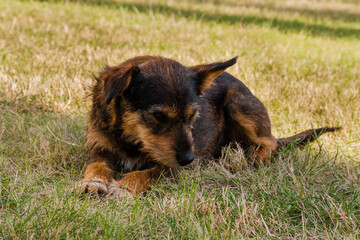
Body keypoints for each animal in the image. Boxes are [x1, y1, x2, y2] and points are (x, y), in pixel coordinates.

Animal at [77, 55, 338, 197]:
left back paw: (258, 158)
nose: (189, 159)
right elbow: (96, 165)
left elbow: (147, 172)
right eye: (158, 116)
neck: (130, 139)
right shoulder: (100, 149)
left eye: (193, 116)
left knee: (271, 141)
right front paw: (93, 182)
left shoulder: (170, 168)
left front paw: (124, 187)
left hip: (238, 102)